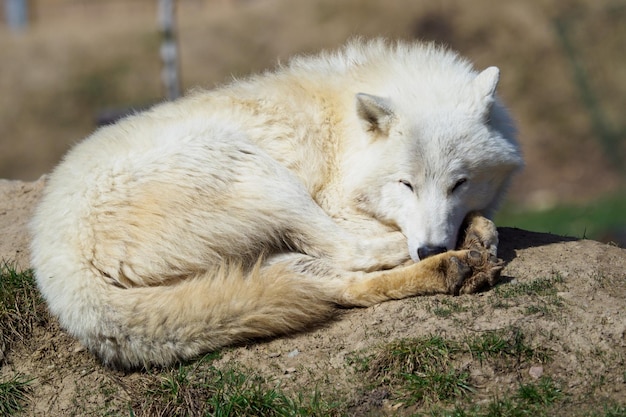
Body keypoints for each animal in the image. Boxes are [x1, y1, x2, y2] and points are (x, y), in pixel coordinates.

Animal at [33, 39, 520, 368]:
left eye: (459, 183)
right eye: (406, 184)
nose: (432, 247)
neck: (345, 134)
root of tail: (59, 269)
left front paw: (471, 233)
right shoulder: (336, 204)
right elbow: (375, 236)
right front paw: (466, 234)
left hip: (267, 251)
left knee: (340, 286)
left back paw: (454, 267)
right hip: (262, 175)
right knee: (350, 255)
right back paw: (453, 256)